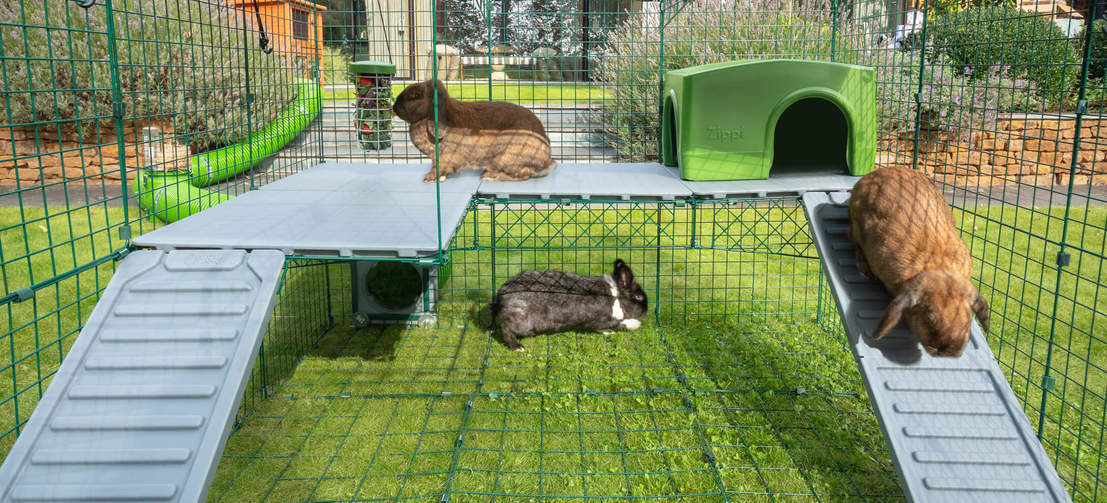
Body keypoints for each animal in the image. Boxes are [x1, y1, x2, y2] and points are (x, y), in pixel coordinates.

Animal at [406, 118, 556, 182]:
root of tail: (546, 161)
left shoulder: (445, 158)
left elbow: (439, 167)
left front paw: (429, 178)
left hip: (505, 159)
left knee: (525, 174)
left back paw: (491, 177)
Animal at [491, 259, 648, 352]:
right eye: (638, 297)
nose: (646, 310)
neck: (615, 296)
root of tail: (500, 297)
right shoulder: (601, 320)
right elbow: (617, 324)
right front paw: (635, 324)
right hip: (524, 322)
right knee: (506, 328)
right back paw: (518, 347)